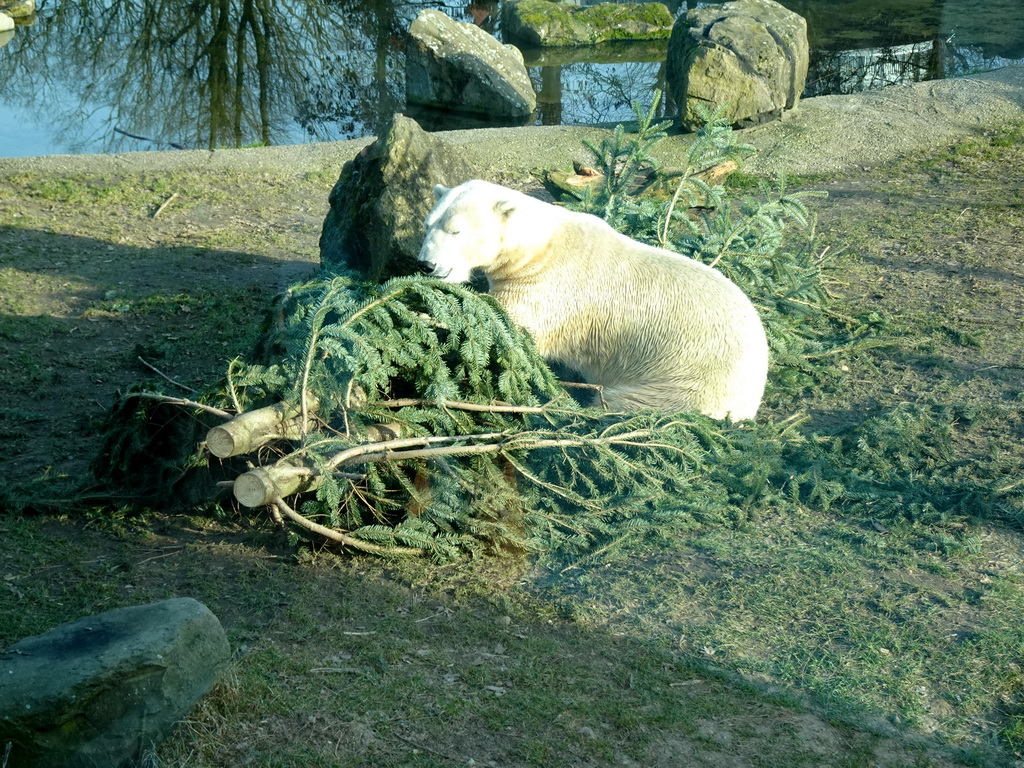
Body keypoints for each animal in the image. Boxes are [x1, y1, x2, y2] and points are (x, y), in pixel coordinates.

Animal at [417, 180, 770, 421]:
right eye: (428, 224)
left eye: (456, 231)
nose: (427, 264)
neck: (539, 247)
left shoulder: (553, 285)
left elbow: (513, 327)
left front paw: (427, 315)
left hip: (684, 382)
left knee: (626, 403)